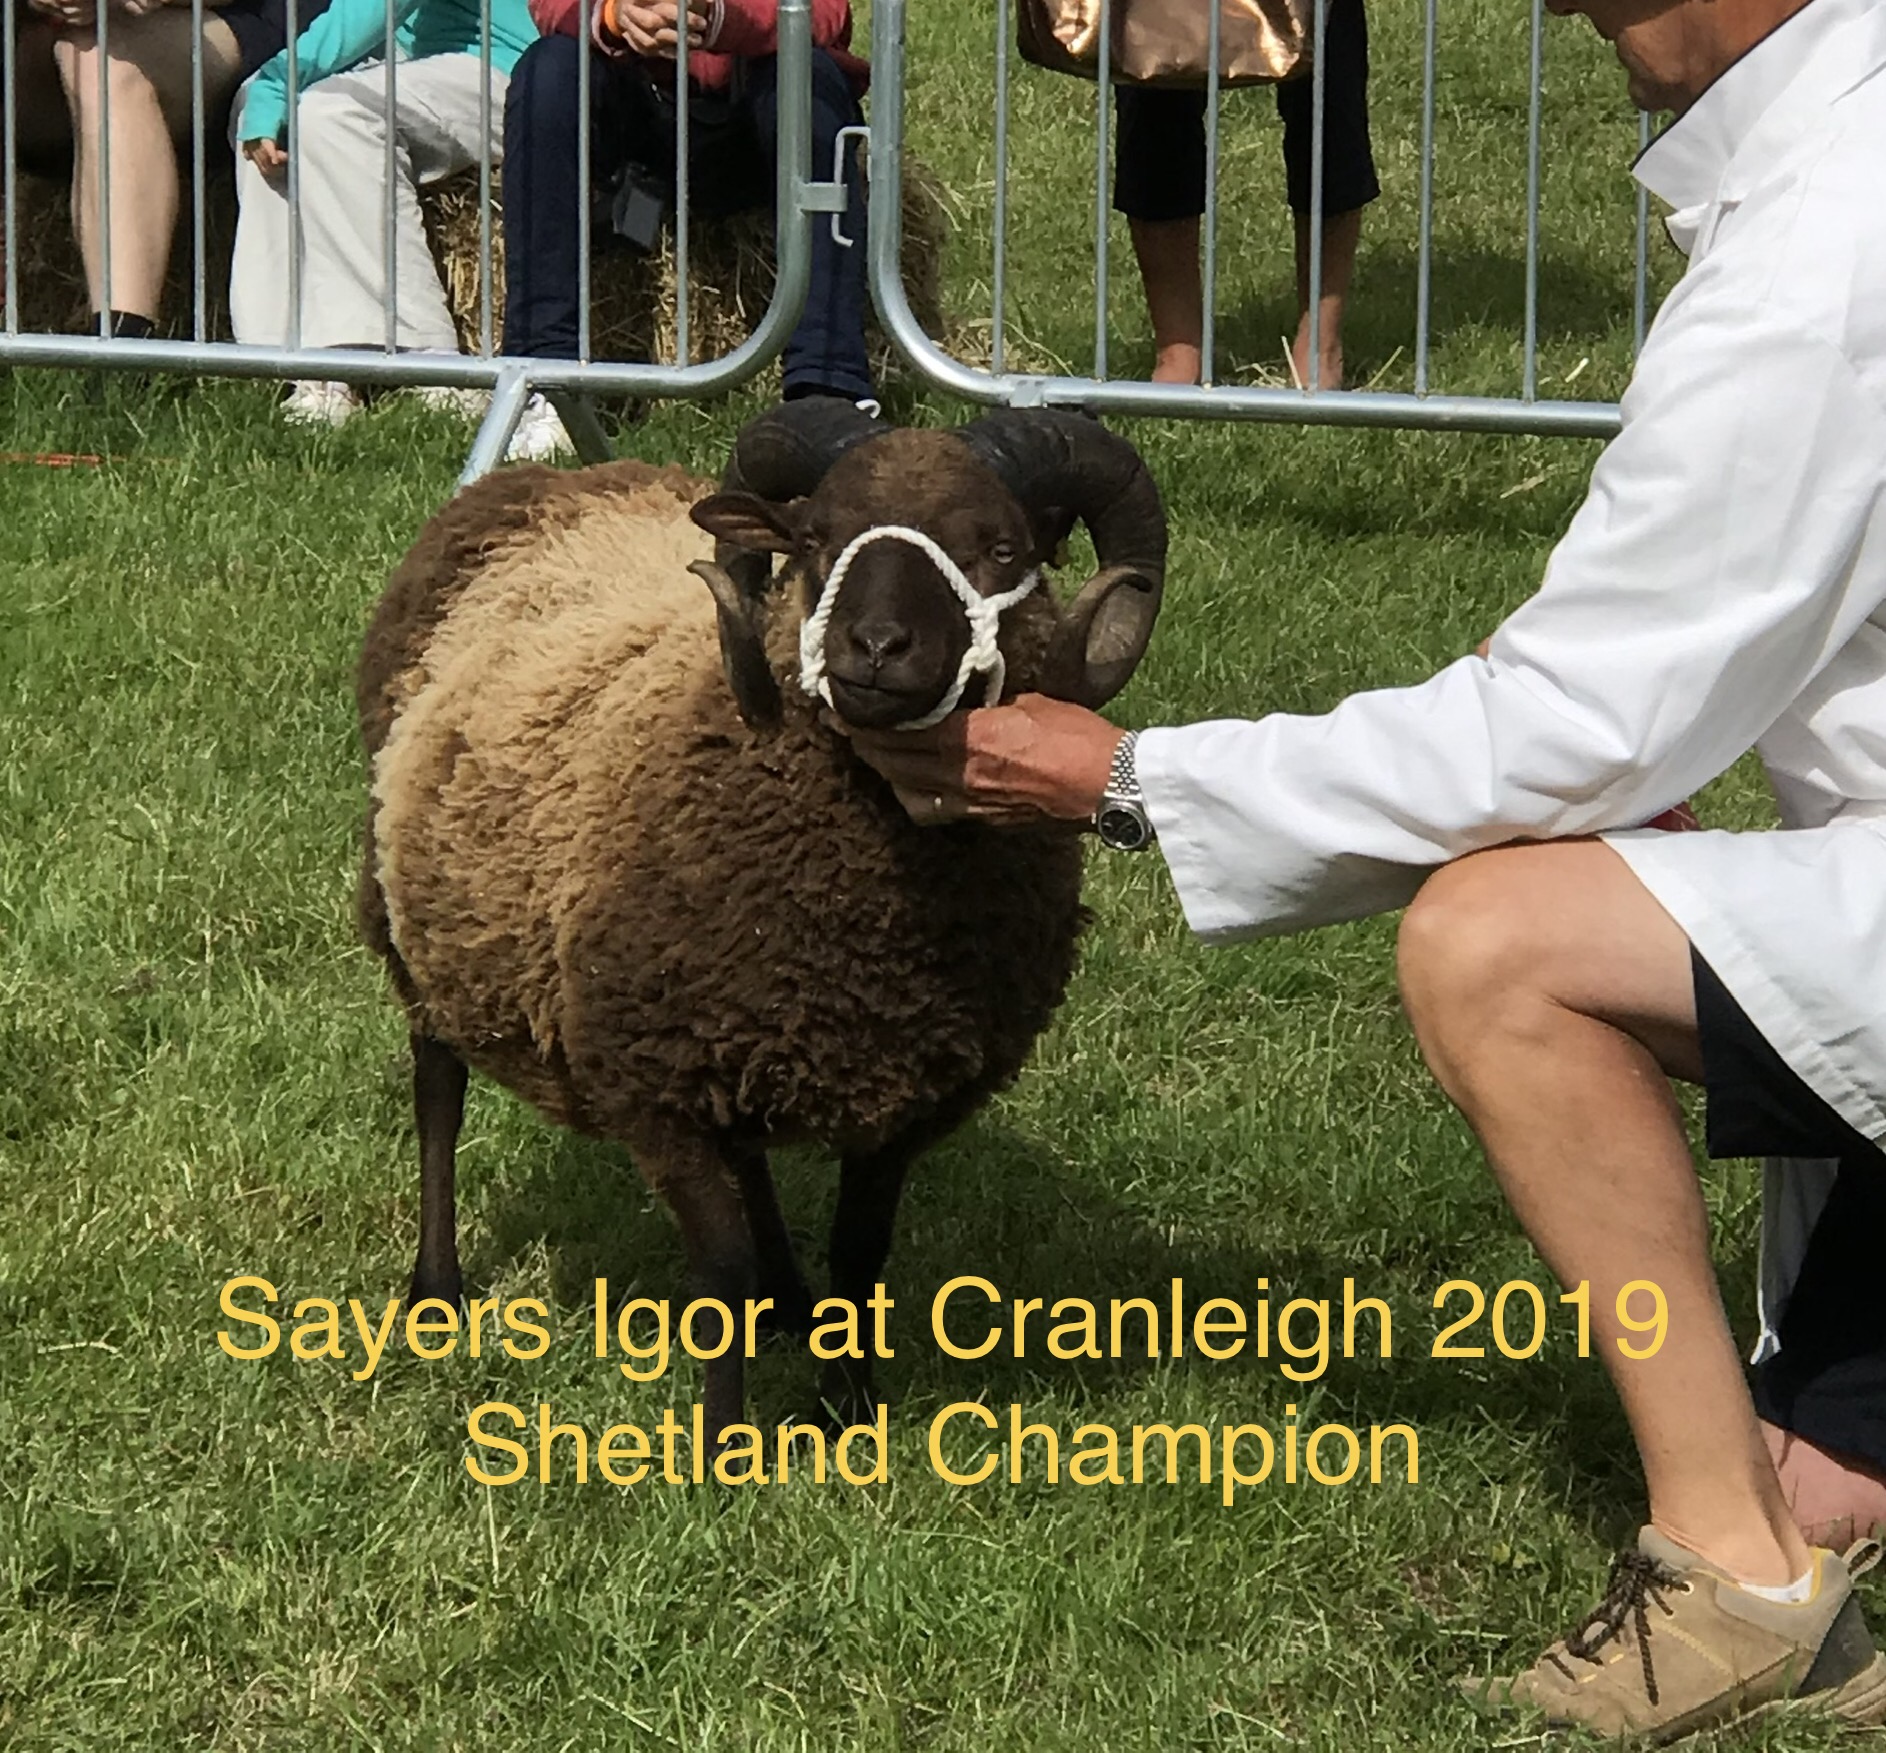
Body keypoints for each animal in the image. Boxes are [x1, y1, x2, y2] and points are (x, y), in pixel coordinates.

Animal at [355, 399, 1168, 1442]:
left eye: (1001, 548)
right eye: (815, 539)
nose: (877, 647)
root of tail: (541, 482)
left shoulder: (900, 1092)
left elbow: (861, 1254)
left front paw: (849, 1412)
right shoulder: (655, 1085)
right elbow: (720, 1273)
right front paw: (722, 1449)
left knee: (750, 1156)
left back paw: (790, 1301)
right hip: (417, 908)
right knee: (437, 1087)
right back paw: (436, 1288)